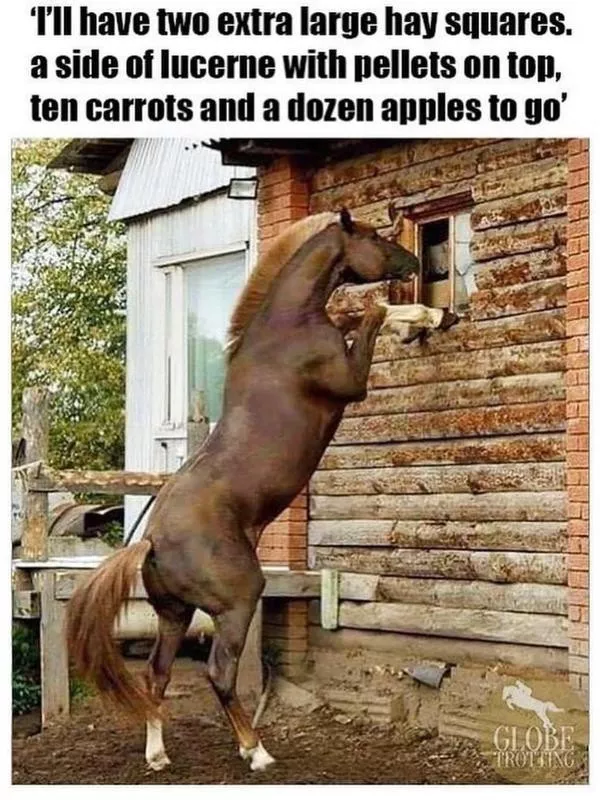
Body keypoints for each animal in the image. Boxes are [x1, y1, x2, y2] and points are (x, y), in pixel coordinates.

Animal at [65, 209, 454, 772]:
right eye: (375, 237)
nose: (415, 263)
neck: (287, 327)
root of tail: (152, 541)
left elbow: (370, 315)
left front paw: (428, 317)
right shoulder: (350, 381)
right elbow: (373, 314)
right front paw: (421, 313)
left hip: (173, 615)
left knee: (157, 674)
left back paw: (159, 755)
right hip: (237, 604)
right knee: (219, 674)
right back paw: (256, 750)